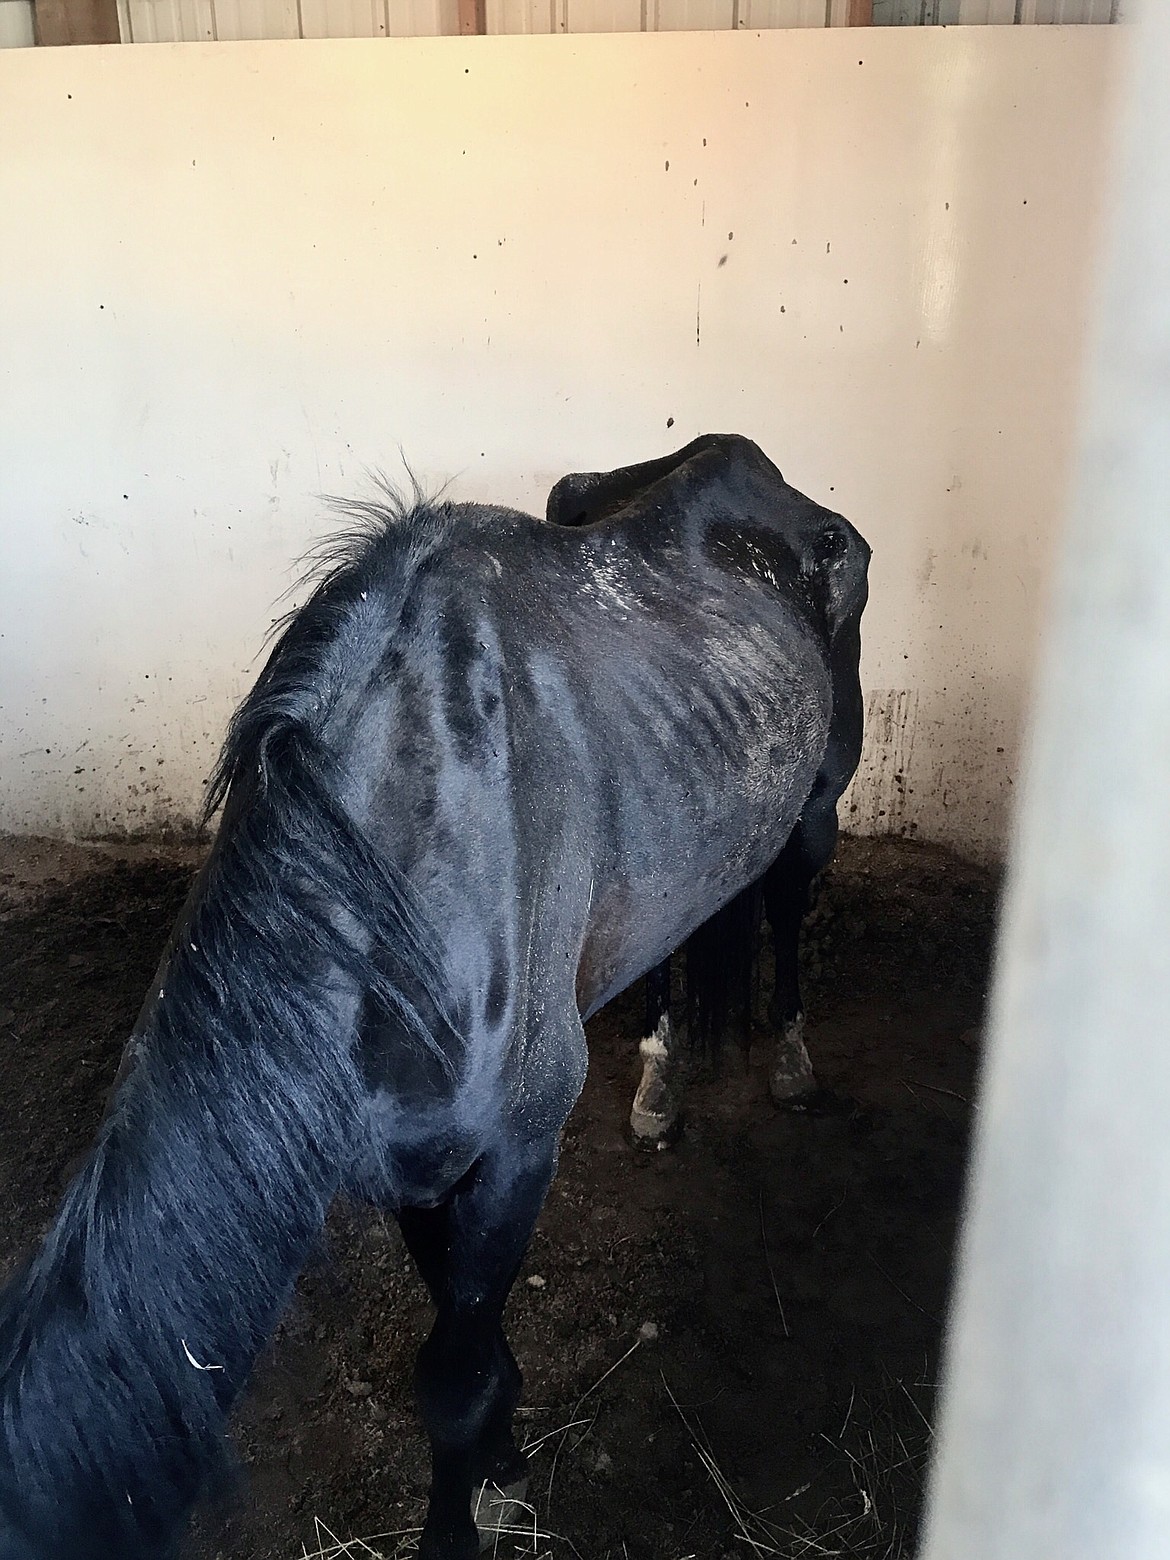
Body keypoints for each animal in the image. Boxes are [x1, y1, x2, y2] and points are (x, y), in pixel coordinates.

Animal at [0, 433, 873, 1560]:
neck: (398, 865)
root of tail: (748, 464)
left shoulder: (513, 1155)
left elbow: (454, 1381)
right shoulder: (409, 1164)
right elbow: (473, 1346)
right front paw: (502, 1467)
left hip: (816, 812)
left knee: (788, 910)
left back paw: (792, 1062)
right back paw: (658, 1085)